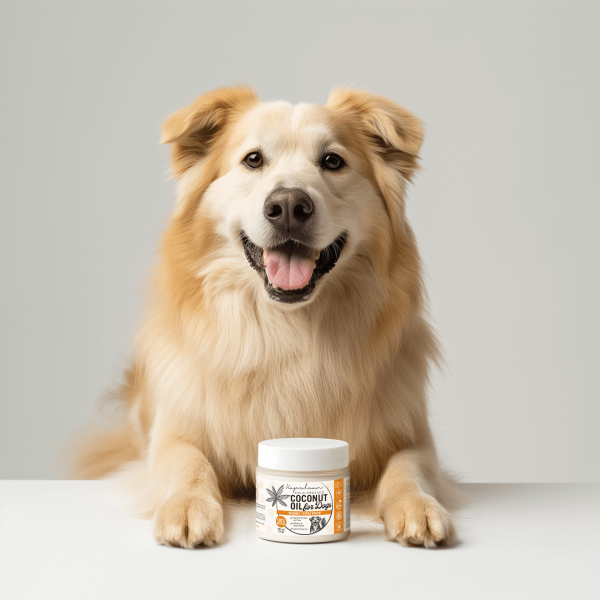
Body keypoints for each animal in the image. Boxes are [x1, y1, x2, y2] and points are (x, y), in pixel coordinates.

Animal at [74, 84, 460, 548]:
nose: (290, 204)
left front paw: (418, 506)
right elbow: (187, 462)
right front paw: (186, 506)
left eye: (333, 161)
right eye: (253, 159)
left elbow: (407, 468)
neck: (286, 330)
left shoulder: (414, 437)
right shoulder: (172, 435)